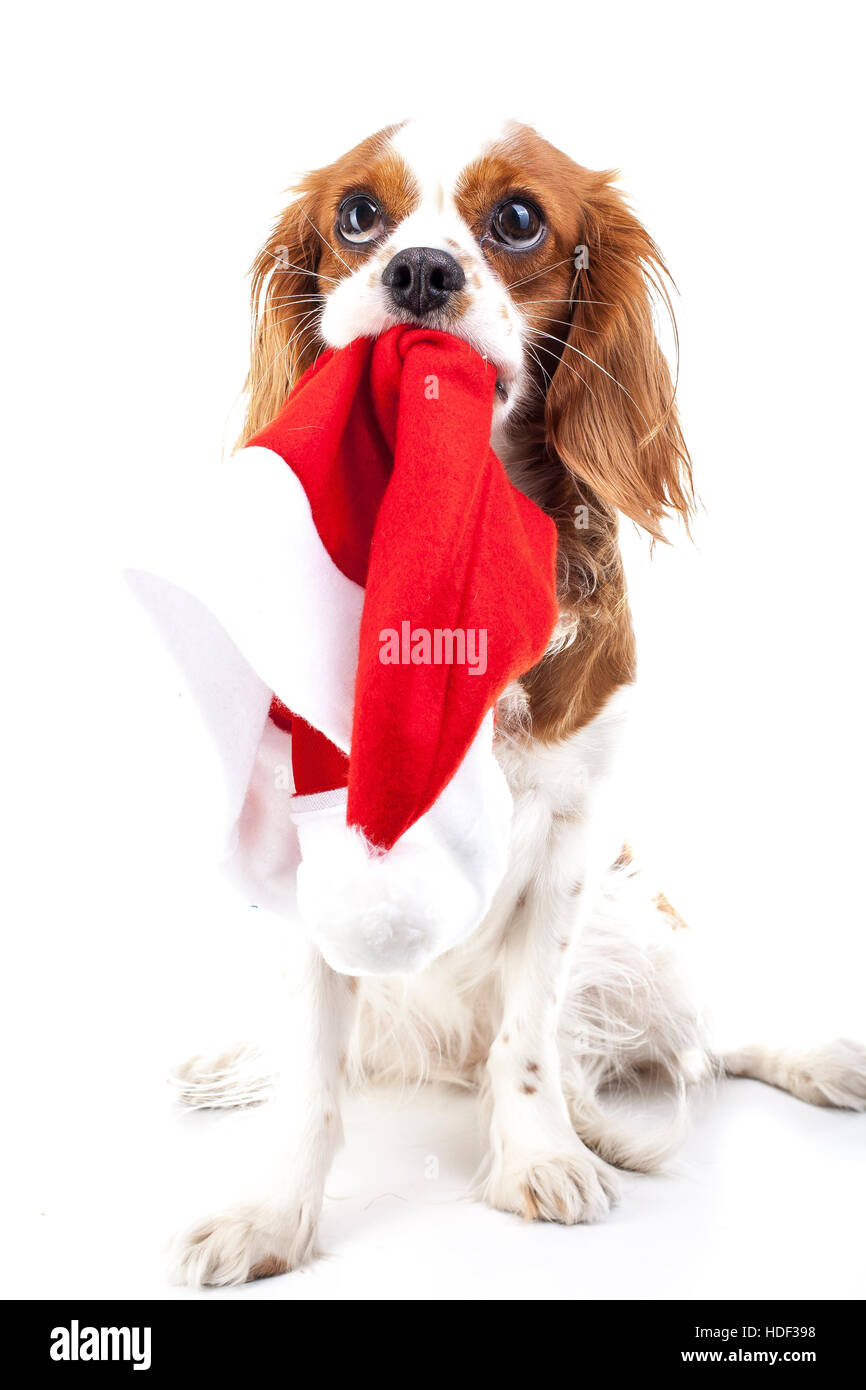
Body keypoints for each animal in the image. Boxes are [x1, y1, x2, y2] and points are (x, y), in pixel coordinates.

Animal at [169, 116, 866, 1278]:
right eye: (356, 213)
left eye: (518, 219)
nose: (419, 268)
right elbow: (312, 1072)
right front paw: (271, 1213)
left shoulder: (570, 843)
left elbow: (528, 1036)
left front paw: (538, 1156)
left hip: (644, 924)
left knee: (706, 1035)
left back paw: (816, 1058)